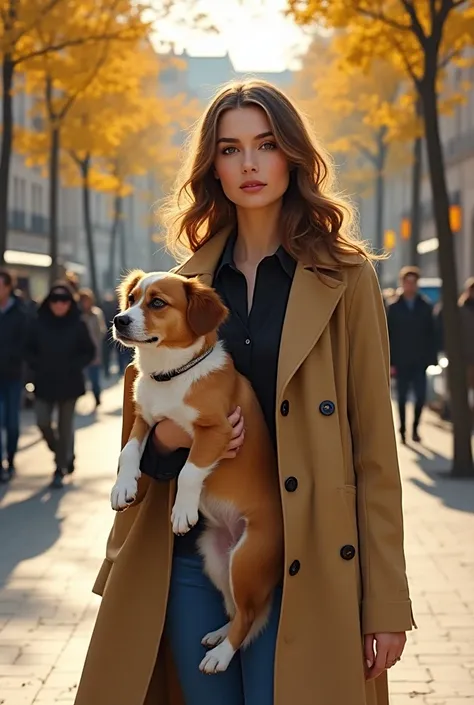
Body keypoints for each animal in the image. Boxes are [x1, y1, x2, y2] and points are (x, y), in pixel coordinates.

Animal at [109, 268, 284, 672]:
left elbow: (189, 471)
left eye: (158, 303)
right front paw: (123, 488)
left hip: (245, 559)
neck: (170, 376)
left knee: (248, 616)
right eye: (132, 300)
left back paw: (221, 655)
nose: (119, 320)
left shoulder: (218, 430)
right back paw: (220, 634)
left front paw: (182, 512)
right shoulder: (146, 421)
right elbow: (129, 452)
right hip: (216, 557)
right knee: (238, 610)